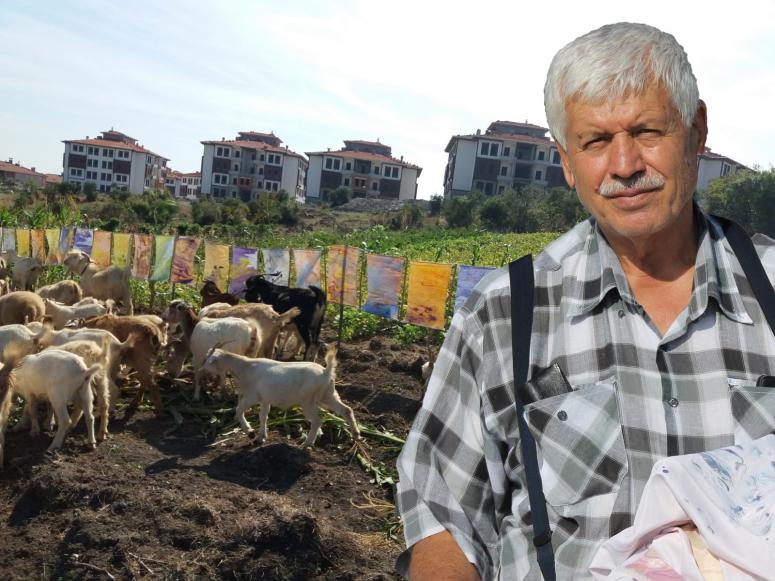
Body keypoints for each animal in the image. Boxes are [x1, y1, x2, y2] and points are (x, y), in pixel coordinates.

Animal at [200, 344, 358, 448]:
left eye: (208, 360)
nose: (201, 370)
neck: (245, 368)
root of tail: (326, 372)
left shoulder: (252, 396)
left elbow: (238, 410)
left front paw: (250, 432)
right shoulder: (264, 399)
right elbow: (263, 416)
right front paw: (261, 437)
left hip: (308, 401)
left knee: (317, 420)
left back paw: (306, 444)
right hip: (328, 395)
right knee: (347, 410)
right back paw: (356, 434)